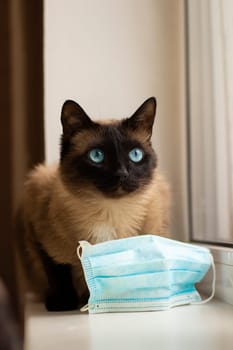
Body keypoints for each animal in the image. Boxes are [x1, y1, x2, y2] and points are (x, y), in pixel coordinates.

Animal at [15, 96, 169, 312]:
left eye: (135, 155)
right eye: (97, 156)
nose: (122, 174)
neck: (108, 212)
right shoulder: (39, 237)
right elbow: (58, 273)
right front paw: (63, 303)